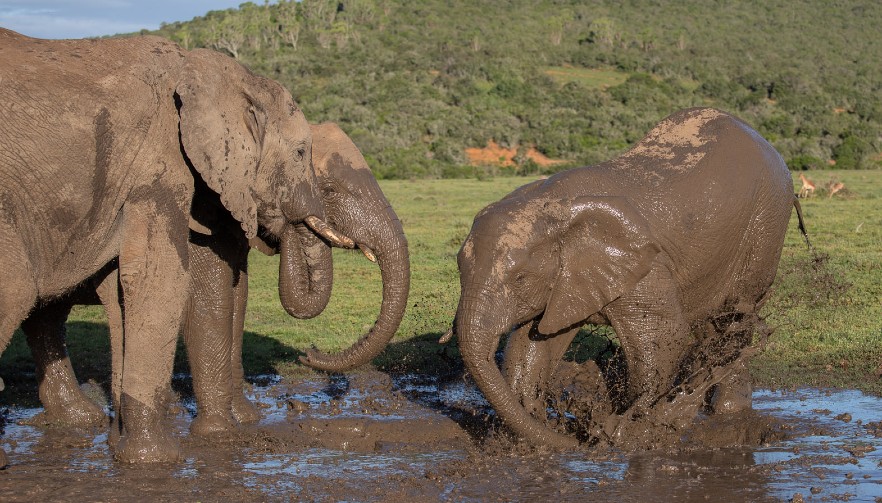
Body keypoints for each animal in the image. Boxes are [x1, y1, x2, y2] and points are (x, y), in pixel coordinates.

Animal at [0, 29, 350, 464]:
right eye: (302, 152)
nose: (309, 353)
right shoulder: (158, 161)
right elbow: (160, 279)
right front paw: (157, 459)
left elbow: (124, 289)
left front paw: (123, 448)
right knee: (18, 292)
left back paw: (80, 420)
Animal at [17, 124, 410, 440]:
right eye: (329, 190)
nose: (309, 353)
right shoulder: (198, 219)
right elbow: (213, 298)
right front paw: (219, 433)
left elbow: (238, 299)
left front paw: (247, 418)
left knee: (46, 318)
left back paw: (79, 418)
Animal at [450, 107, 808, 448]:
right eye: (458, 269)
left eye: (520, 278)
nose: (579, 438)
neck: (554, 205)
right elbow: (533, 345)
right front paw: (524, 433)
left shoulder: (647, 267)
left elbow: (663, 338)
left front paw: (631, 435)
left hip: (765, 222)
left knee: (735, 314)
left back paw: (726, 413)